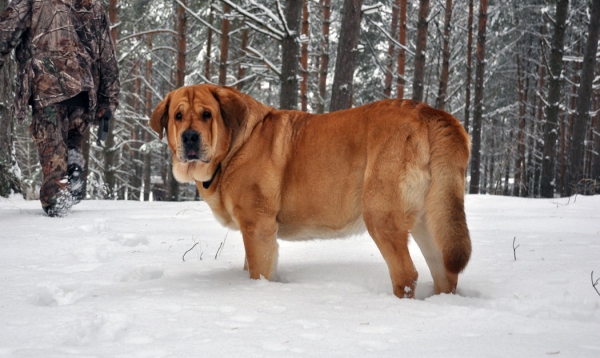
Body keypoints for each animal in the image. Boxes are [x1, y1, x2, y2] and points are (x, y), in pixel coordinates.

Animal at [149, 84, 468, 300]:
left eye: (207, 114)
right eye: (178, 116)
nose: (190, 137)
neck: (235, 147)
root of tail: (430, 113)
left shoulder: (257, 228)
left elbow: (258, 271)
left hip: (381, 216)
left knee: (406, 274)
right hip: (431, 220)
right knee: (446, 271)